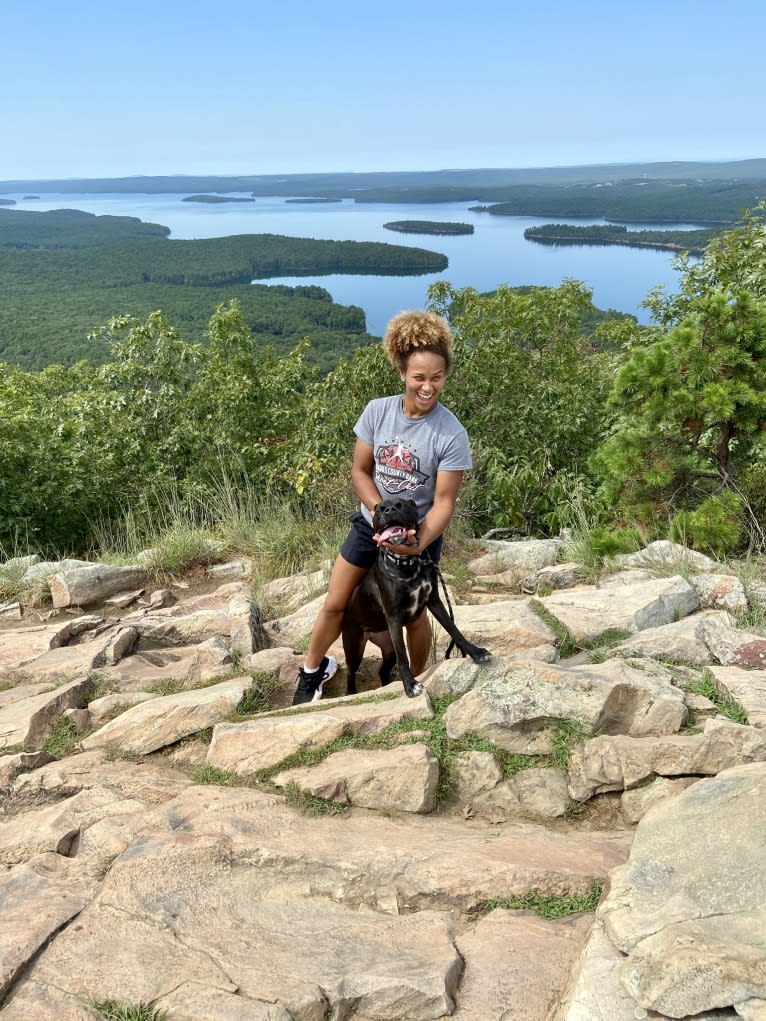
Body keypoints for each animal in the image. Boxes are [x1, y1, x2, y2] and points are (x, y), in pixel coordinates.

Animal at [341, 498, 492, 698]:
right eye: (380, 509)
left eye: (400, 505)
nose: (388, 510)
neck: (408, 562)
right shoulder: (394, 618)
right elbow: (403, 656)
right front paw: (410, 685)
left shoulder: (434, 602)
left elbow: (454, 630)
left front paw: (476, 652)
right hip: (354, 647)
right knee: (350, 673)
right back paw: (351, 692)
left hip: (386, 647)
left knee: (383, 670)